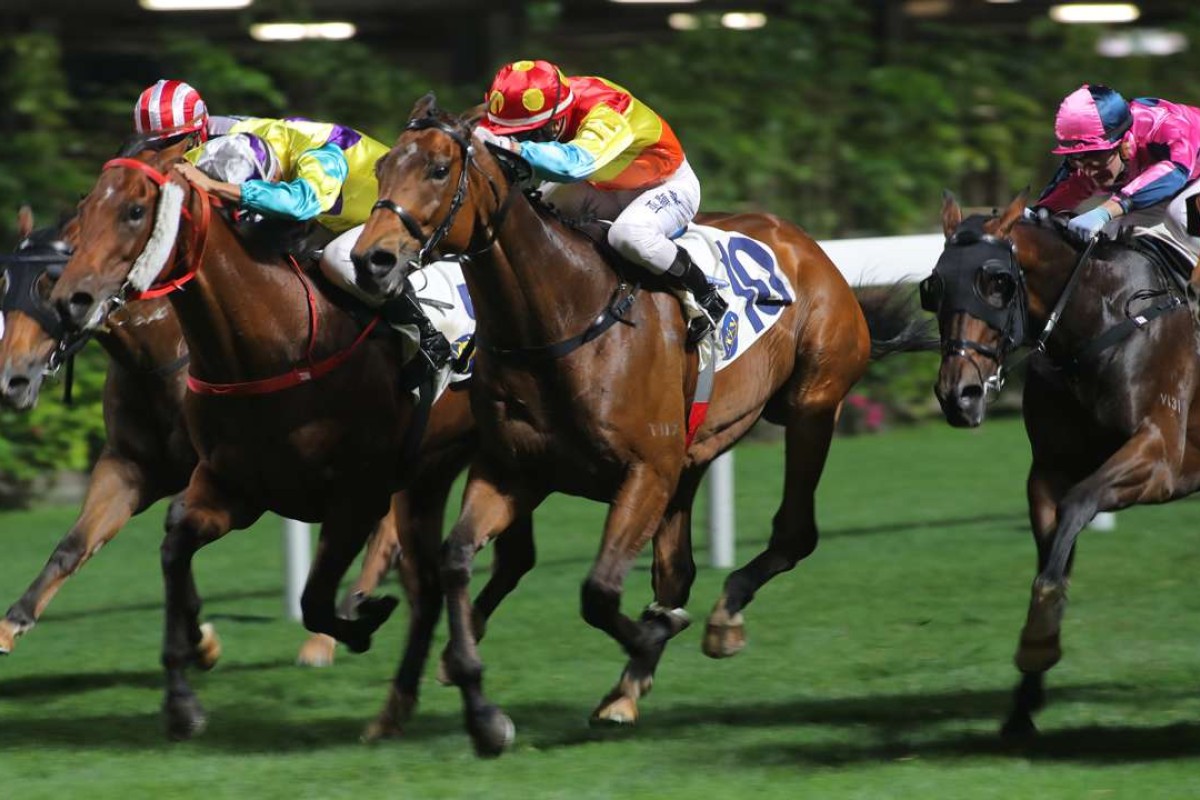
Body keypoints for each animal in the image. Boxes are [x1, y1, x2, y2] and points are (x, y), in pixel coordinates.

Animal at [43, 139, 535, 743]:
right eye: (85, 207)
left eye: (135, 211)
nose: (69, 299)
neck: (275, 342)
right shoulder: (235, 488)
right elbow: (174, 546)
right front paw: (182, 697)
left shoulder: (356, 499)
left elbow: (315, 599)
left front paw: (358, 622)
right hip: (434, 476)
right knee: (437, 585)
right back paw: (397, 710)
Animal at [350, 100, 926, 758]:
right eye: (384, 167)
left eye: (439, 169)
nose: (370, 260)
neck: (561, 319)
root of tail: (808, 246)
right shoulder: (512, 471)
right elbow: (455, 560)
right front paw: (481, 708)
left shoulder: (645, 471)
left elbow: (599, 591)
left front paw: (653, 634)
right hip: (691, 459)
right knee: (676, 570)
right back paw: (626, 687)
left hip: (811, 404)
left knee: (793, 533)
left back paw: (719, 622)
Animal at [921, 190, 1195, 743]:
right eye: (933, 287)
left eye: (997, 282)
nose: (958, 396)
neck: (1100, 322)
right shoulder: (1048, 469)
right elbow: (1054, 552)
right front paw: (1024, 696)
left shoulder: (1160, 459)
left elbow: (1077, 506)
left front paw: (1038, 644)